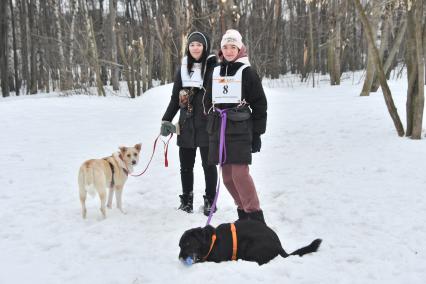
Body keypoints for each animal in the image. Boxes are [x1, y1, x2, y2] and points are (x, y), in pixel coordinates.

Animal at [178, 221, 322, 266]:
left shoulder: (218, 259)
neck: (211, 242)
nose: (180, 258)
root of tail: (279, 247)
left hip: (250, 245)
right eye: (179, 246)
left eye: (187, 244)